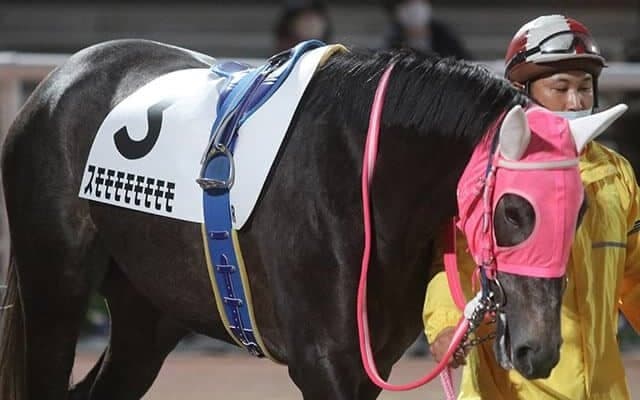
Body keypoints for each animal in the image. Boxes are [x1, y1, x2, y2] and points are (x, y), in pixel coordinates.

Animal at [0, 39, 607, 399]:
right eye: (514, 210)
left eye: (579, 210)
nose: (539, 350)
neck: (366, 173)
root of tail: (58, 79)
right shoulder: (322, 363)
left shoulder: (369, 364)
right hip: (54, 291)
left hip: (147, 311)